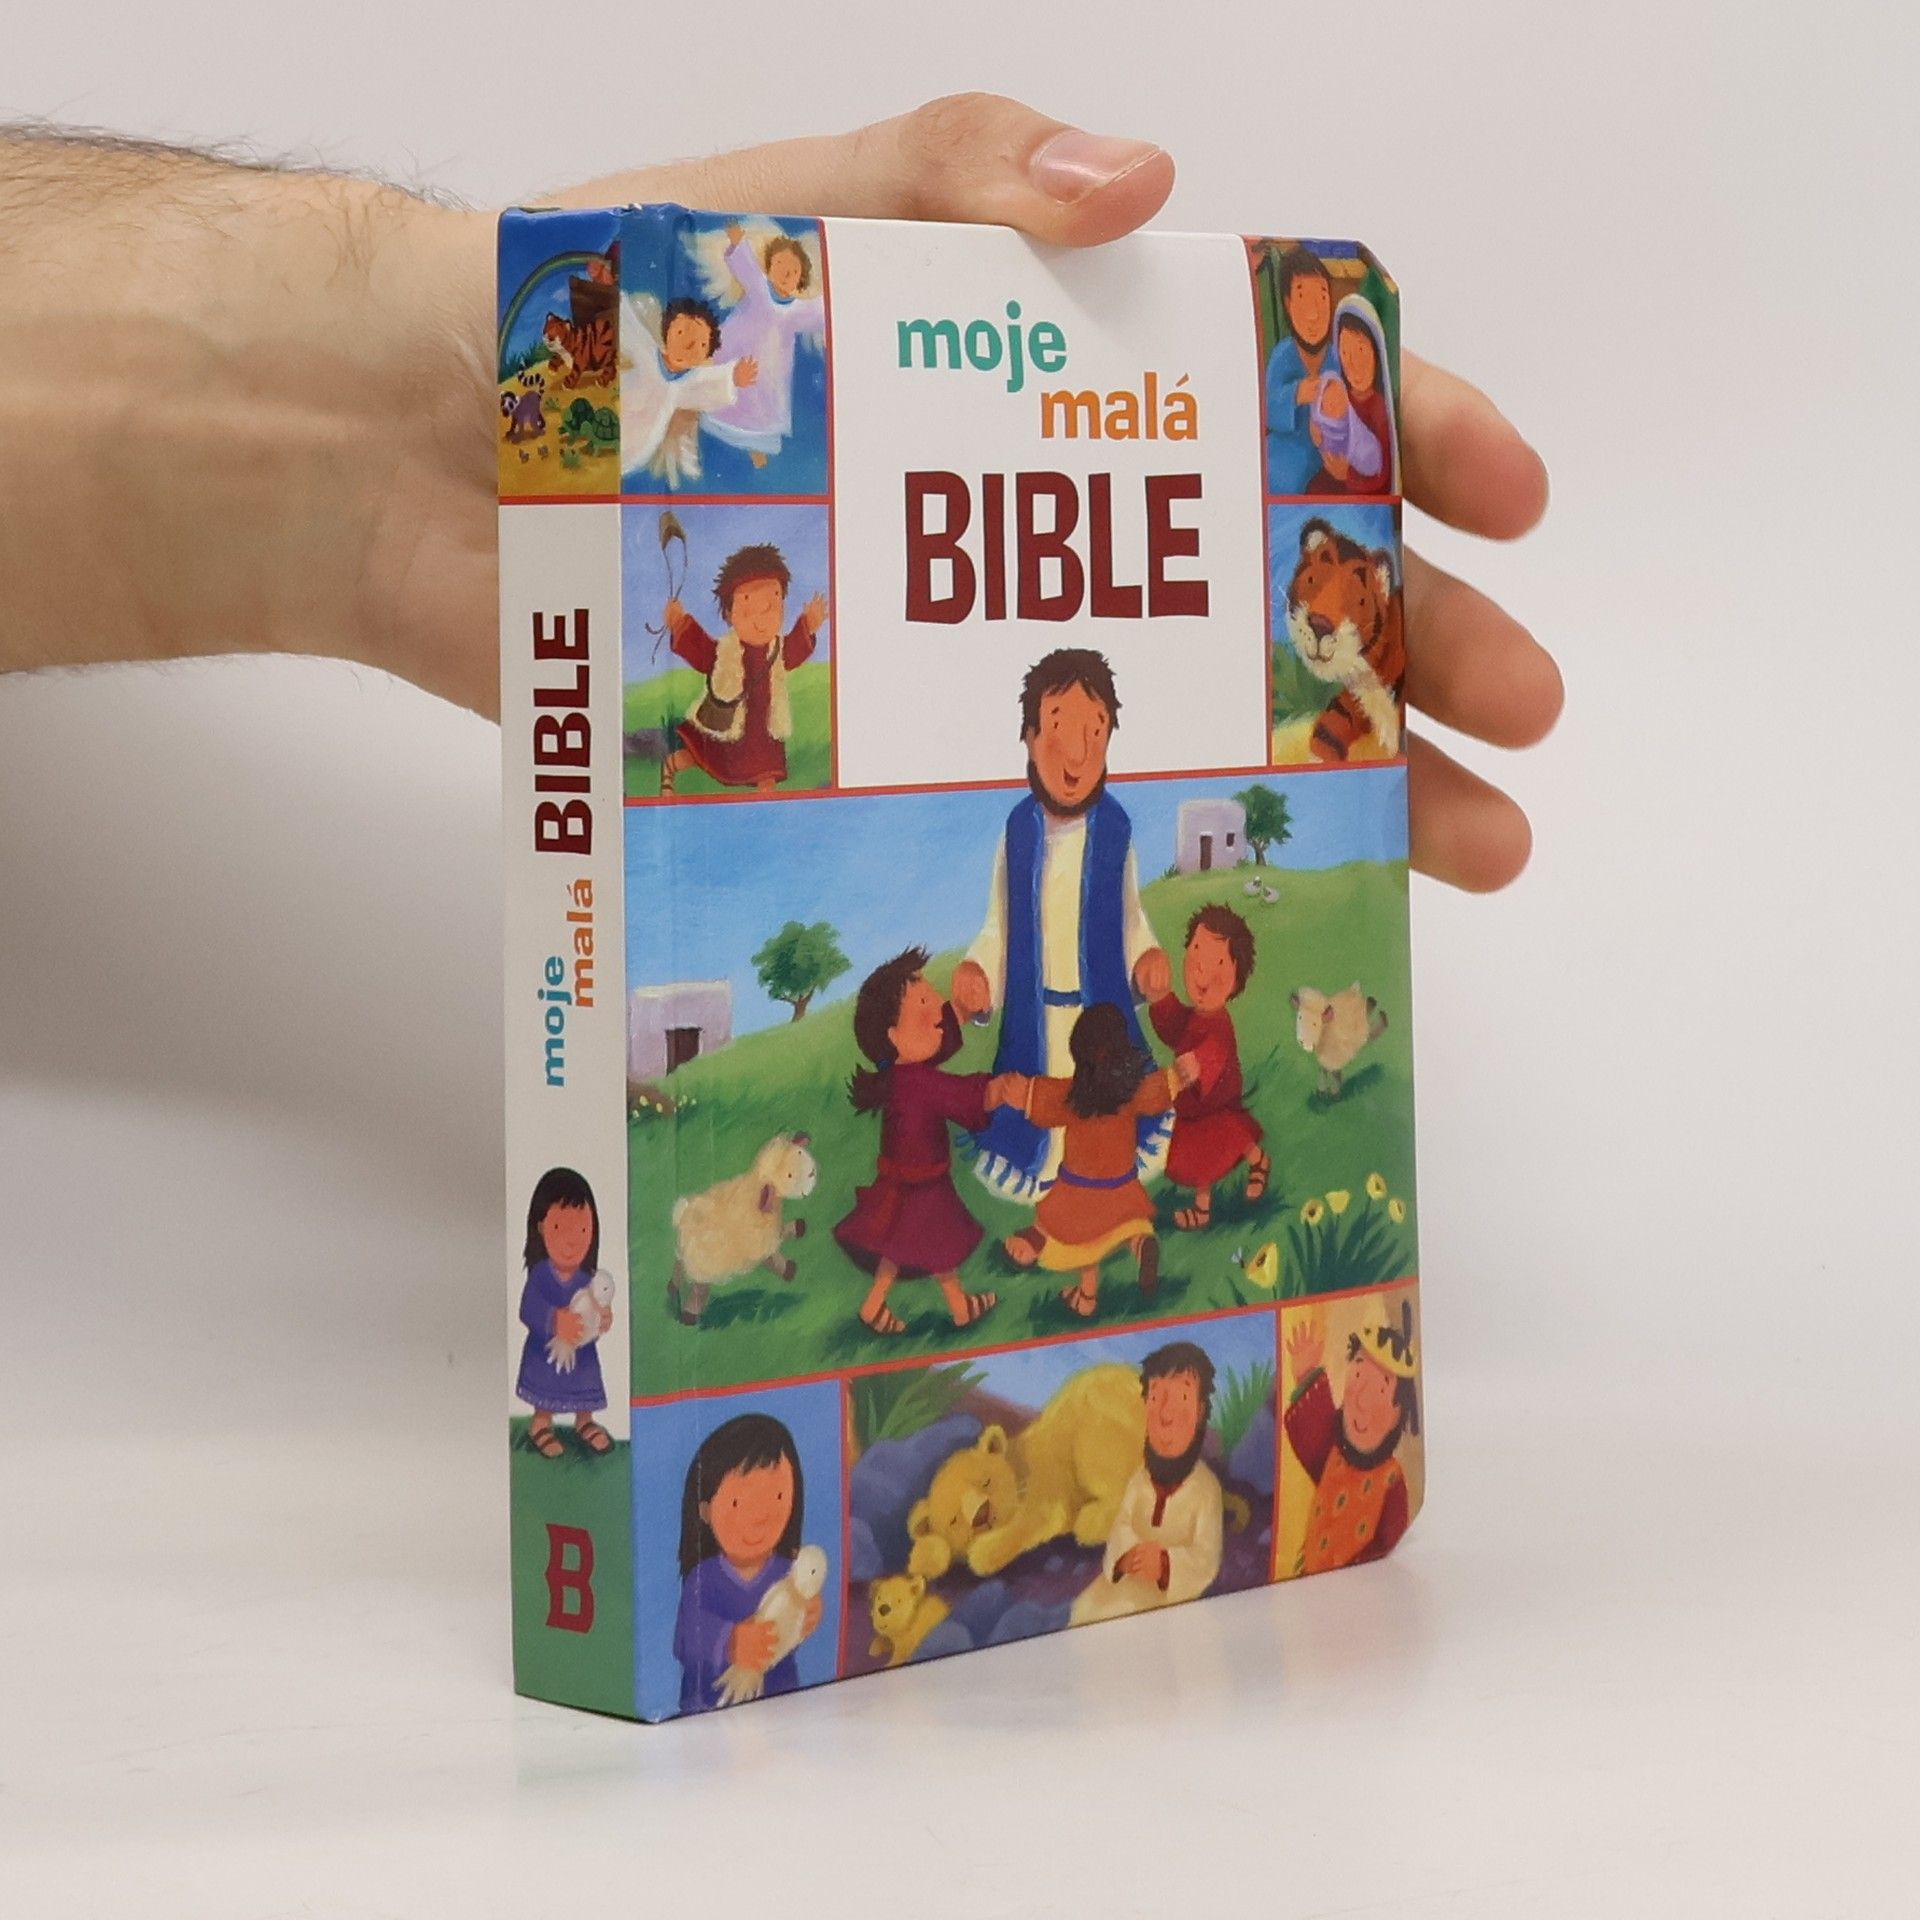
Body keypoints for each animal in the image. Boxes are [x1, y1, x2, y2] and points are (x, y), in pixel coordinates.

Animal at [667, 1132, 819, 1324]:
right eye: (790, 1176)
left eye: (799, 1152)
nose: (811, 1172)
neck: (755, 1186)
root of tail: (681, 1216)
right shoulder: (760, 1242)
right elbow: (774, 1259)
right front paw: (789, 1271)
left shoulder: (769, 1231)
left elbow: (781, 1233)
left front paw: (798, 1227)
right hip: (705, 1266)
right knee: (698, 1291)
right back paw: (689, 1316)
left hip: (686, 1255)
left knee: (679, 1267)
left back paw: (672, 1288)